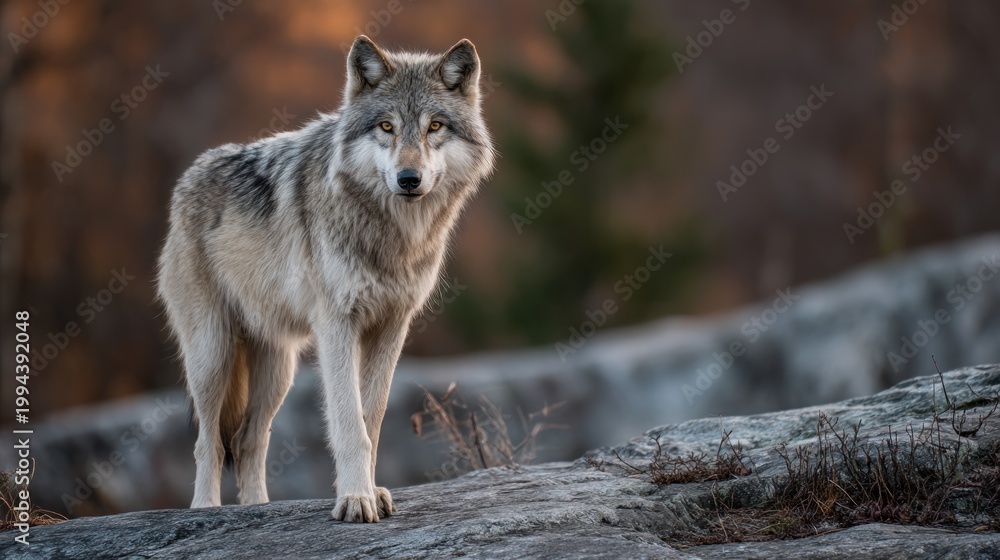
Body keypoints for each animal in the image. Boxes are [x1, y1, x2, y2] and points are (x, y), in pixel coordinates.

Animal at [156, 35, 495, 522]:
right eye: (387, 127)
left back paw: (257, 508)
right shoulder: (337, 324)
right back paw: (204, 509)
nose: (408, 178)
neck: (392, 235)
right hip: (212, 354)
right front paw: (354, 499)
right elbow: (350, 423)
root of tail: (189, 175)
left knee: (247, 439)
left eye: (434, 127)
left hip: (278, 370)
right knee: (208, 443)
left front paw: (370, 492)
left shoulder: (392, 326)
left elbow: (372, 418)